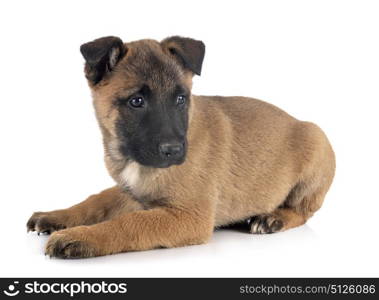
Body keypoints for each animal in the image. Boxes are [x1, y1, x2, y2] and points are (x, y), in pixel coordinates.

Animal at [26, 35, 336, 258]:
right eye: (136, 101)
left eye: (180, 99)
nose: (174, 151)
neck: (133, 160)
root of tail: (297, 120)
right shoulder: (133, 193)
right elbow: (97, 200)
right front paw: (56, 216)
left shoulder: (188, 216)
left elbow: (129, 223)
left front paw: (82, 236)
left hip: (317, 142)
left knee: (303, 211)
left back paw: (272, 218)